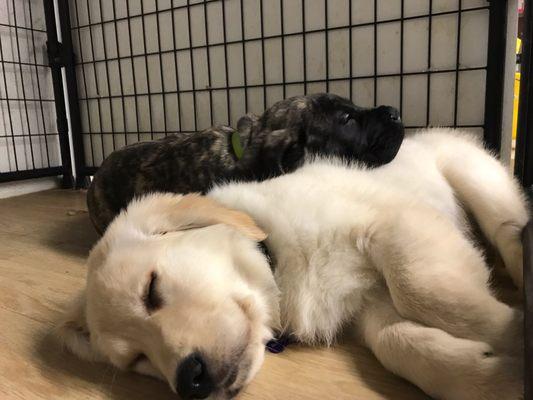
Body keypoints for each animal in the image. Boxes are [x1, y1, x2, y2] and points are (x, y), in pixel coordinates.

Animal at [58, 130, 528, 398]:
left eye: (151, 289)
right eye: (137, 360)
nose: (191, 382)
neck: (276, 257)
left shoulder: (393, 226)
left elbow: (427, 293)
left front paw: (512, 333)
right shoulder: (367, 303)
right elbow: (397, 341)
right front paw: (491, 376)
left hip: (474, 176)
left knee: (509, 229)